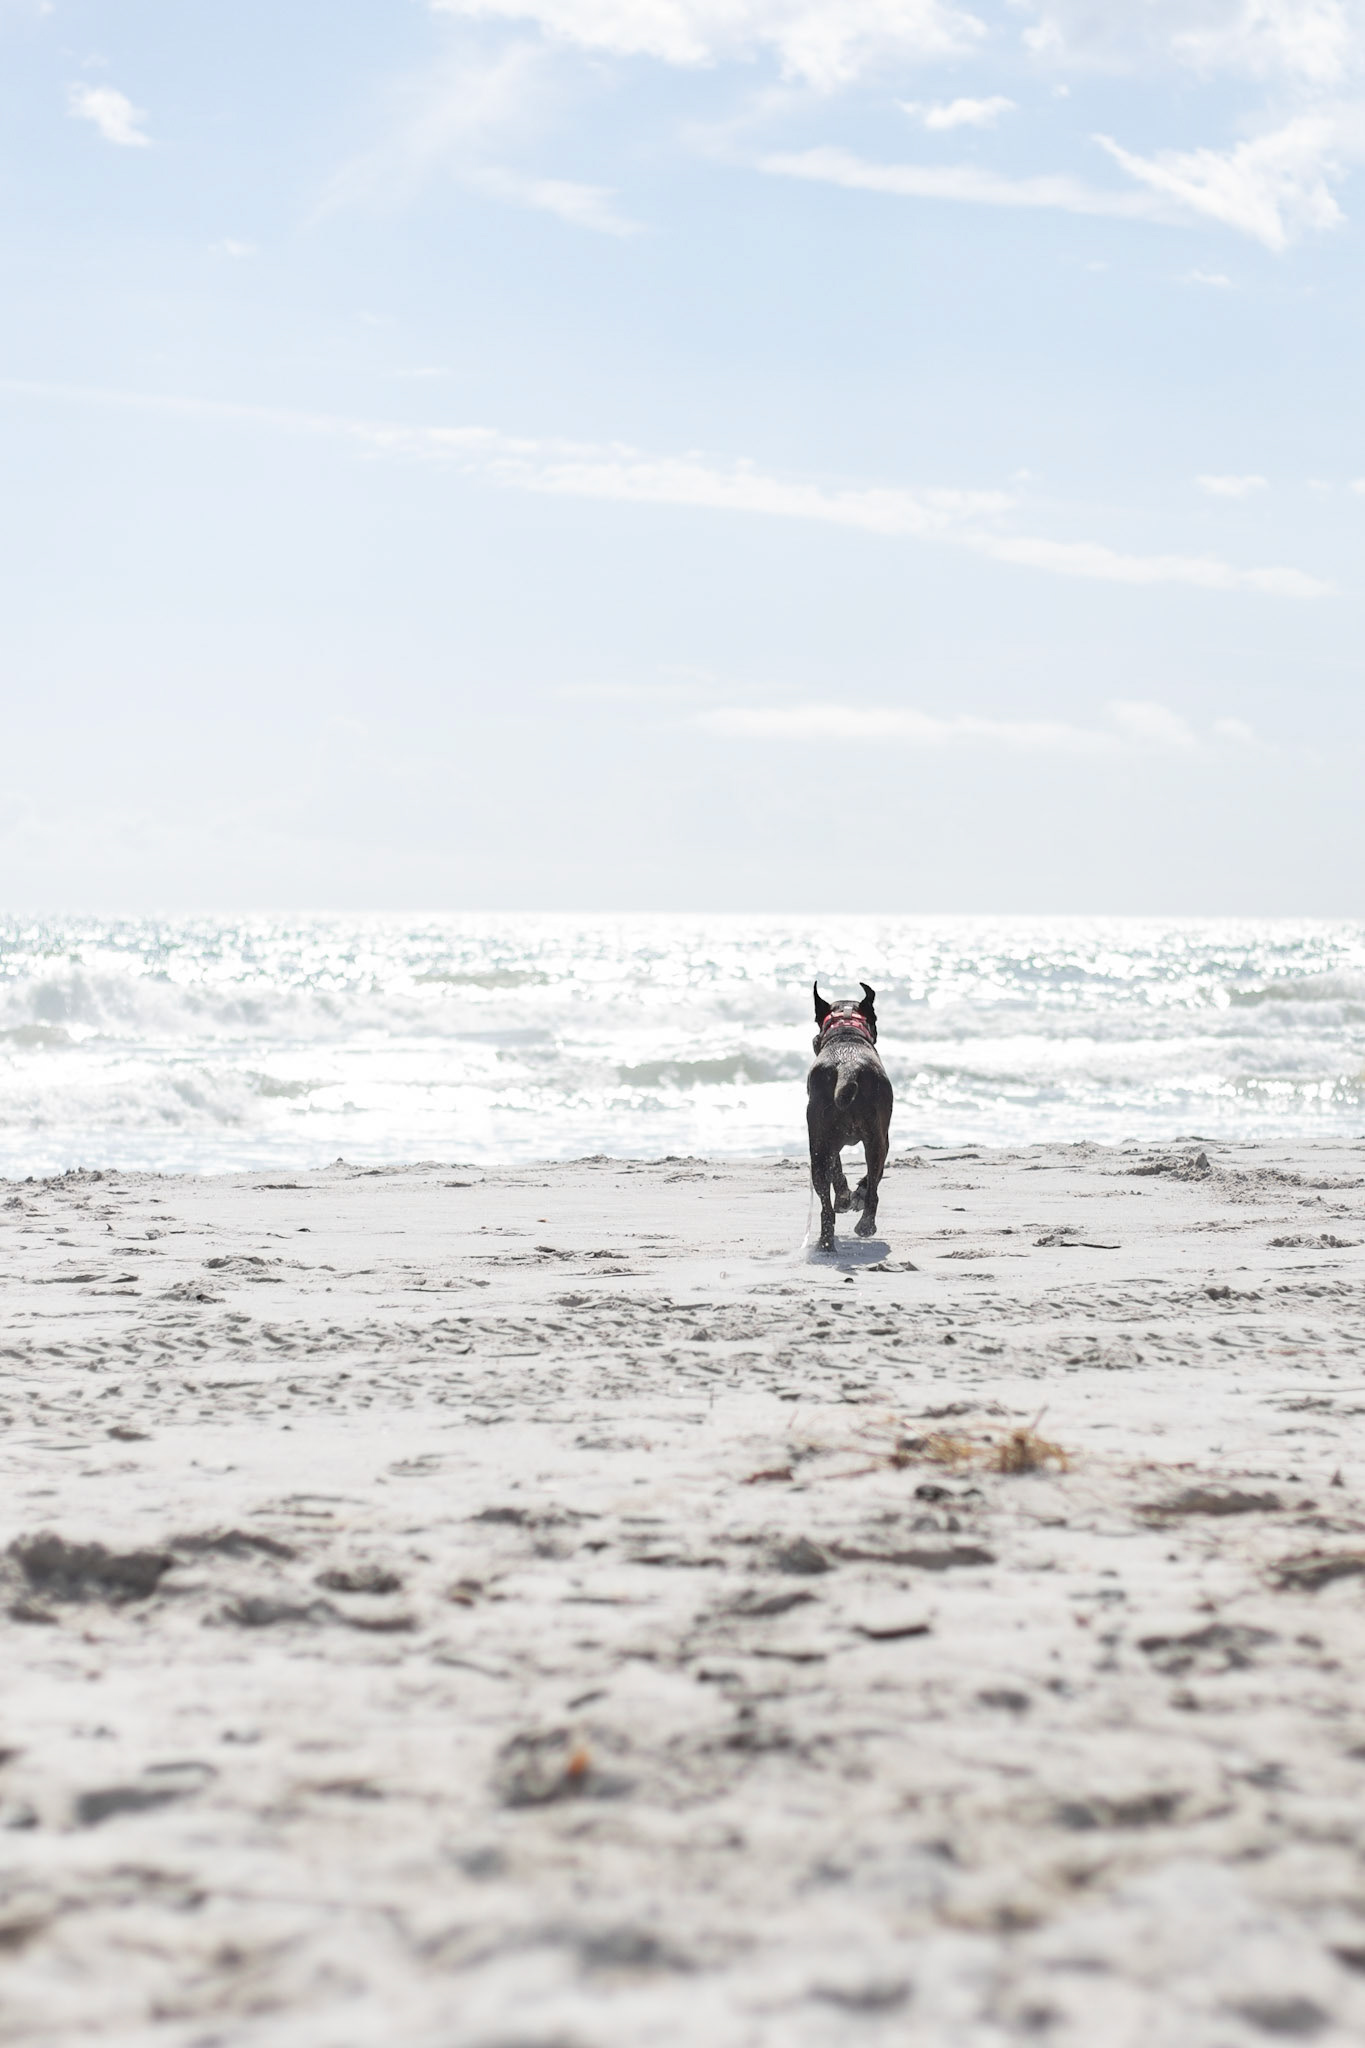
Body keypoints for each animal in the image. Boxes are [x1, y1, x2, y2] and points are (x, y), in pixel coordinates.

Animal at [807, 981, 894, 1251]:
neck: (846, 1035)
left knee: (826, 1201)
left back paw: (827, 1242)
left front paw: (848, 1197)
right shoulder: (883, 1138)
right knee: (873, 1187)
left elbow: (839, 1170)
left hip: (819, 1147)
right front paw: (853, 1196)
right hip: (871, 1140)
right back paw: (864, 1224)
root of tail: (849, 1067)